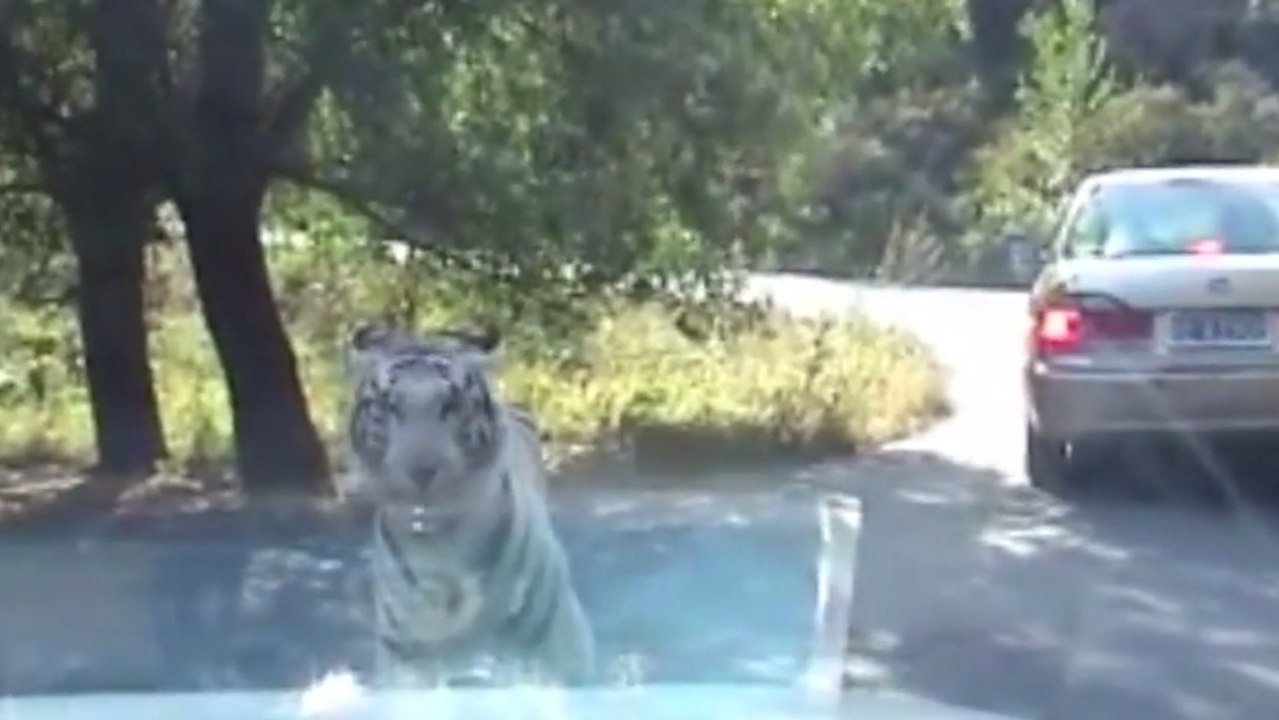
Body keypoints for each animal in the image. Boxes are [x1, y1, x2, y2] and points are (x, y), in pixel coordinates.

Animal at [341, 321, 595, 687]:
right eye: (390, 406)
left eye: (449, 405)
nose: (421, 471)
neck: (441, 546)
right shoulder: (404, 659)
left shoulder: (562, 648)